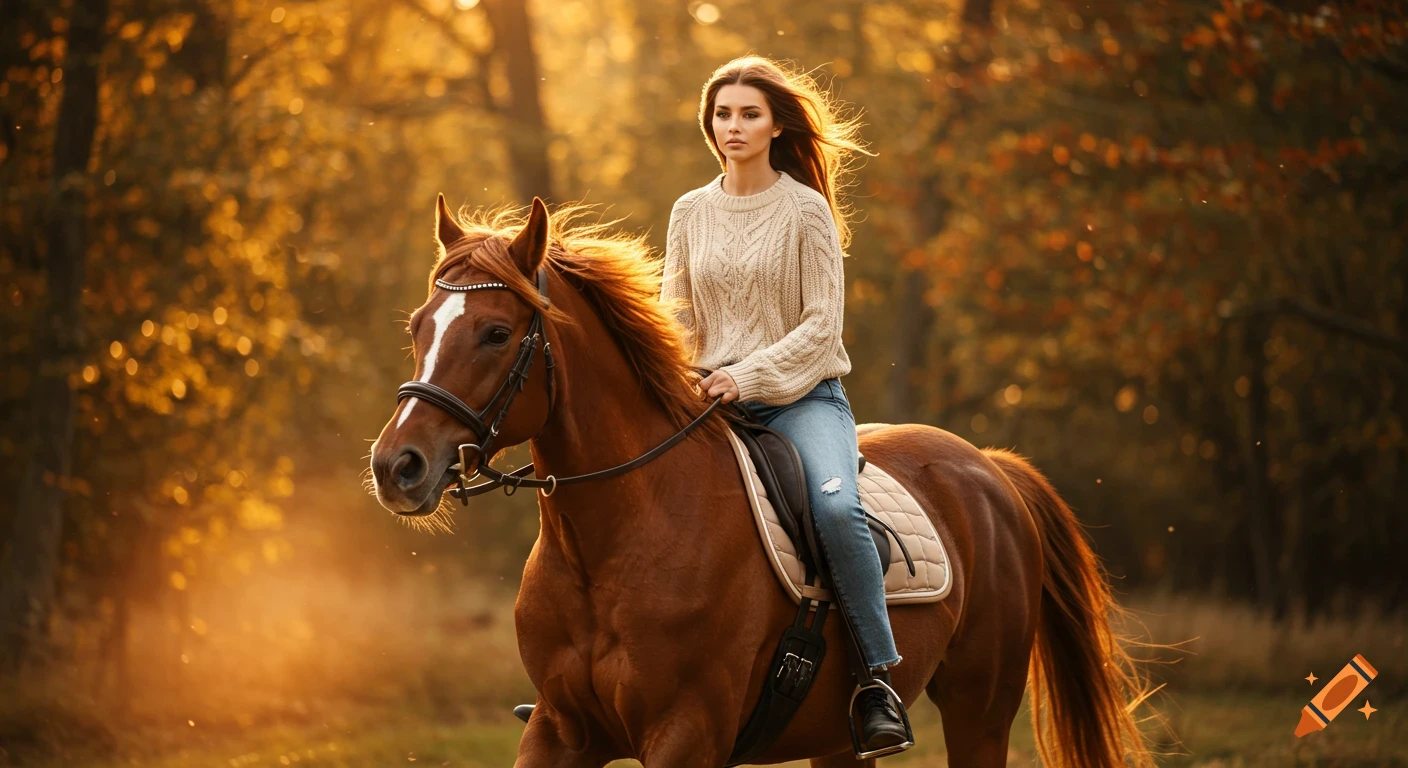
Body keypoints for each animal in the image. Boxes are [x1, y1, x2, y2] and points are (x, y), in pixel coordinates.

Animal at [369, 196, 1156, 768]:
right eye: (417, 325)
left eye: (497, 333)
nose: (396, 465)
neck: (614, 541)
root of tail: (989, 467)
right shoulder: (560, 731)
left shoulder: (685, 735)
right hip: (841, 741)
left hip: (979, 711)